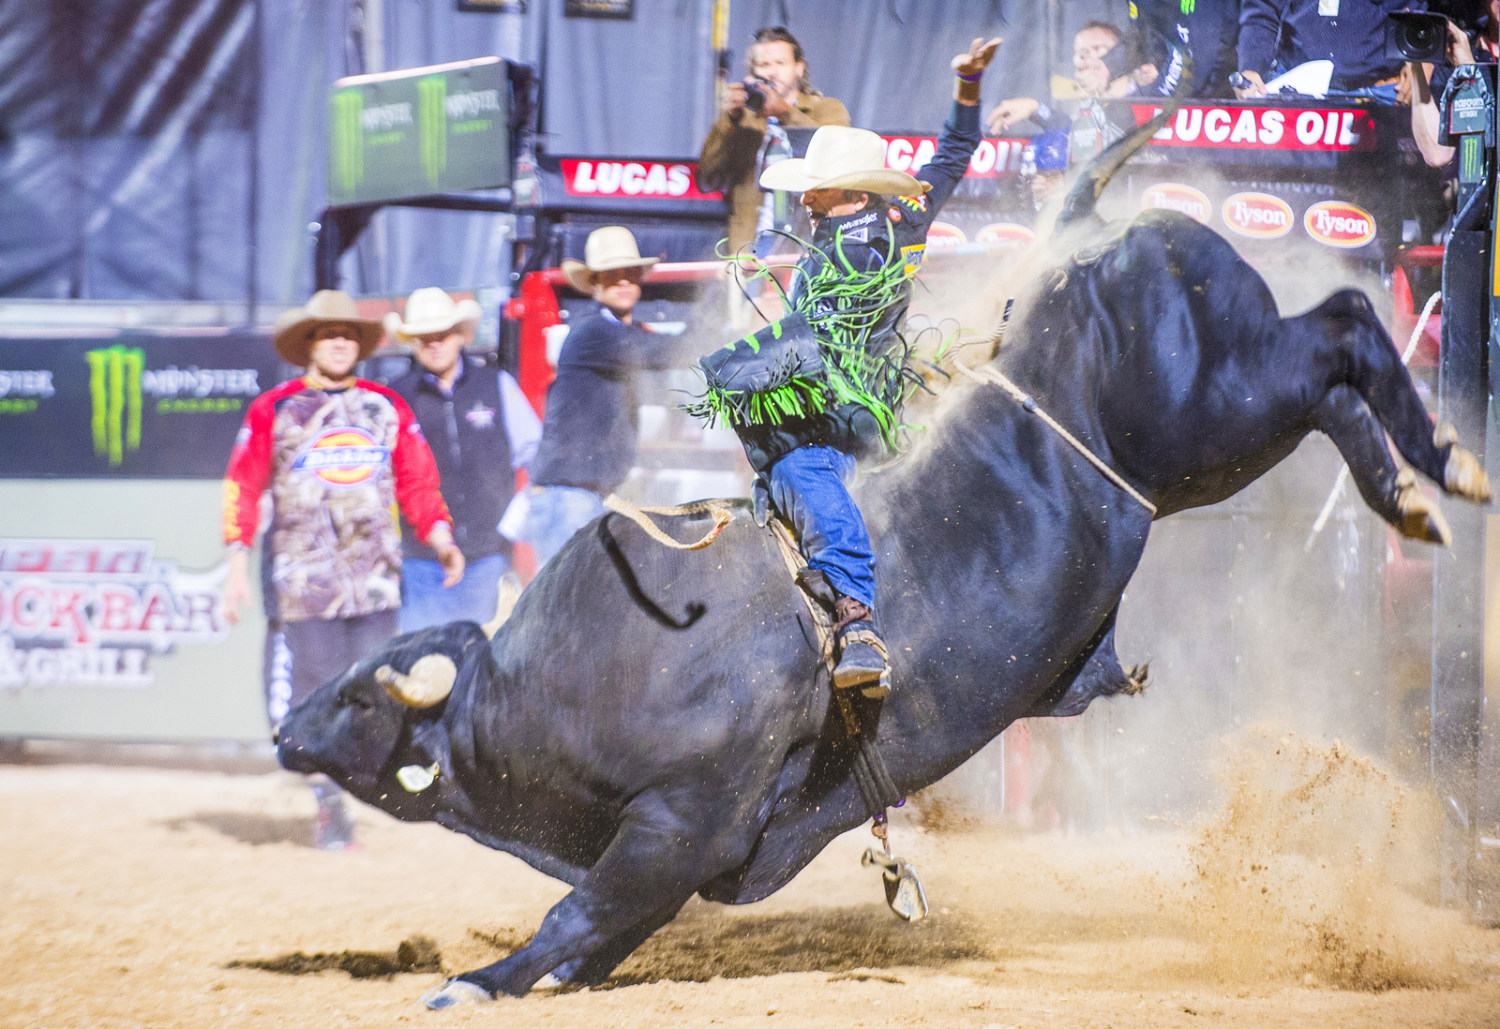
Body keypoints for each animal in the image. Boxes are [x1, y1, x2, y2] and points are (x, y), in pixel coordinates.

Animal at [276, 210, 1482, 1008]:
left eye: (357, 690)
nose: (283, 725)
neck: (533, 693)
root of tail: (1122, 244)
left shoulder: (680, 821)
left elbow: (579, 913)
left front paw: (470, 983)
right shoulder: (684, 857)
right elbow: (599, 936)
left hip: (1210, 411)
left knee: (1342, 327)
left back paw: (1444, 464)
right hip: (1215, 441)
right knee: (1333, 373)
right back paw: (1412, 495)